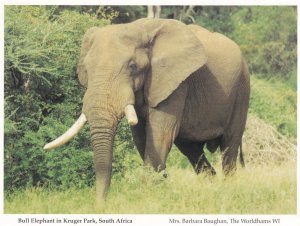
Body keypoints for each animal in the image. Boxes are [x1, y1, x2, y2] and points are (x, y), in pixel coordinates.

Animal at [44, 18, 251, 203]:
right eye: (86, 69)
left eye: (132, 66)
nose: (100, 205)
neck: (140, 28)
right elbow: (141, 138)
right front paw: (158, 189)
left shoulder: (174, 82)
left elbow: (160, 135)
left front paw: (149, 195)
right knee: (192, 150)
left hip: (242, 89)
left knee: (229, 146)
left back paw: (228, 190)